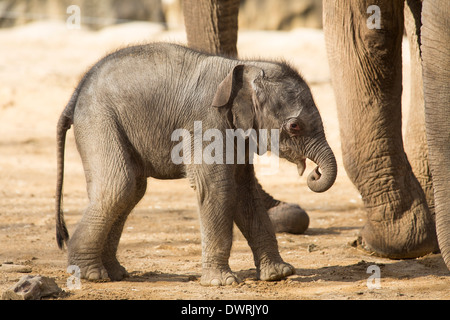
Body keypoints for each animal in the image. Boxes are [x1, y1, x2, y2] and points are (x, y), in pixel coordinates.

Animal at [56, 42, 336, 284]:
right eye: (295, 126)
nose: (315, 172)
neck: (244, 66)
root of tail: (76, 93)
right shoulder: (205, 123)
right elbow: (217, 187)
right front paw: (223, 282)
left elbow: (244, 191)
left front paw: (279, 274)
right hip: (99, 119)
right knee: (119, 186)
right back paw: (91, 274)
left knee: (132, 189)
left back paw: (115, 273)